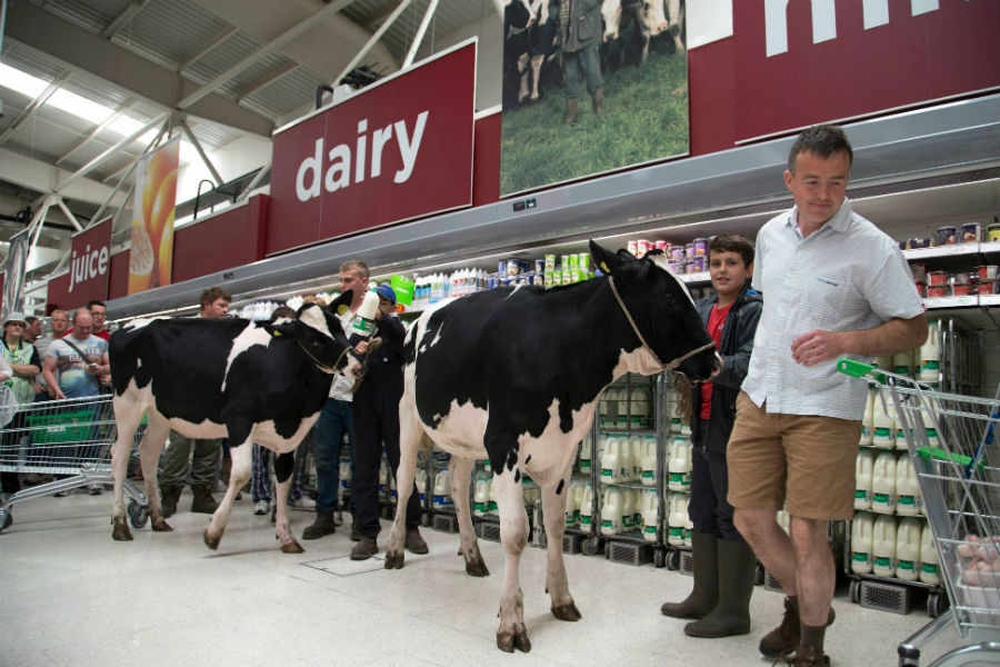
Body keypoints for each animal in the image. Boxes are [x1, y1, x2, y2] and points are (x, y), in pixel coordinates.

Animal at [108, 294, 360, 552]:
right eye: (314, 340)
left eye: (338, 328)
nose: (357, 366)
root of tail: (129, 326)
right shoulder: (239, 419)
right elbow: (241, 473)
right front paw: (213, 532)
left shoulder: (289, 435)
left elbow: (283, 477)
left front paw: (287, 537)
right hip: (127, 404)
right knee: (120, 456)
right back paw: (120, 524)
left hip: (159, 412)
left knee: (148, 453)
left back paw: (157, 518)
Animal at [382, 239, 720, 652]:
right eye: (670, 298)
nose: (715, 360)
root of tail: (417, 320)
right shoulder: (503, 444)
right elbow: (515, 532)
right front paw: (511, 621)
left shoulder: (564, 448)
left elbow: (556, 524)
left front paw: (561, 598)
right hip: (408, 417)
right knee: (403, 482)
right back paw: (395, 550)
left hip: (464, 437)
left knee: (460, 487)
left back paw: (473, 555)